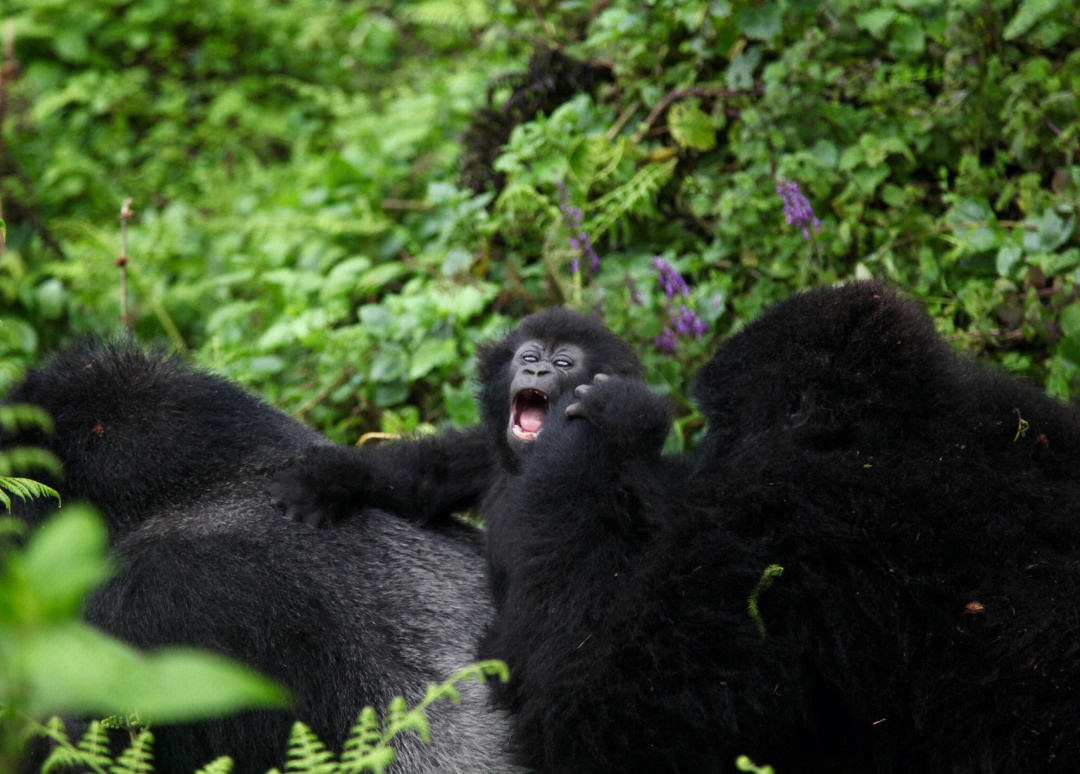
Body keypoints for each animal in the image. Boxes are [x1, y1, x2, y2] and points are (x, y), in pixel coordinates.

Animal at [282, 289, 1080, 772]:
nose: (537, 371)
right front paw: (341, 476)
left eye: (565, 362)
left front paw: (620, 419)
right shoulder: (487, 455)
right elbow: (425, 473)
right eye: (526, 356)